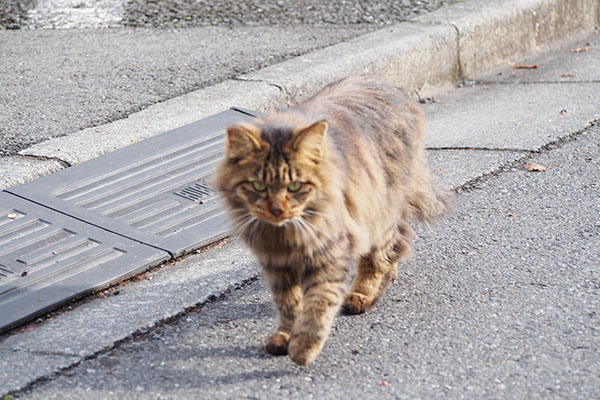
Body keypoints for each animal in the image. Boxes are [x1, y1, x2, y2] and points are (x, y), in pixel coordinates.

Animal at [213, 75, 452, 366]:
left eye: (295, 186)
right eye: (259, 186)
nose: (277, 210)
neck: (287, 233)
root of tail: (389, 85)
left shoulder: (330, 254)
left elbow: (317, 307)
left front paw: (303, 348)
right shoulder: (276, 263)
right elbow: (289, 304)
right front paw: (286, 336)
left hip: (378, 208)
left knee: (383, 253)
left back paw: (361, 296)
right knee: (397, 243)